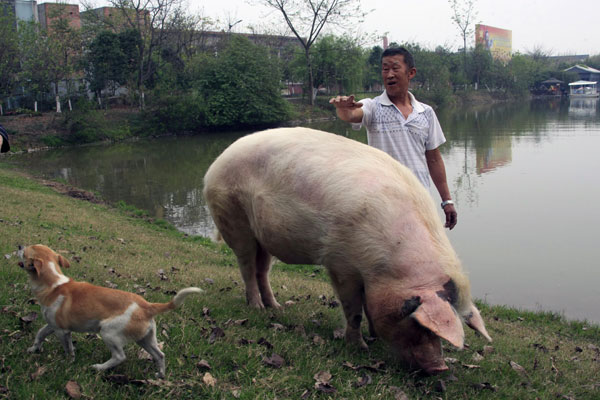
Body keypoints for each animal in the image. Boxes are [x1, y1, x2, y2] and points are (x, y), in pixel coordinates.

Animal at [18, 244, 202, 378]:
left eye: (25, 252)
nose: (19, 245)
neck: (55, 284)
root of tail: (146, 306)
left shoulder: (62, 331)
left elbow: (68, 348)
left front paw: (68, 362)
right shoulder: (52, 325)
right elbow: (40, 334)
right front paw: (33, 349)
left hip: (108, 332)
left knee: (120, 357)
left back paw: (99, 367)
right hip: (145, 339)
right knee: (160, 355)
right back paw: (160, 375)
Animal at [204, 126, 490, 374]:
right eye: (419, 323)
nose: (439, 368)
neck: (388, 264)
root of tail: (214, 165)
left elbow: (368, 305)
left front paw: (373, 337)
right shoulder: (340, 263)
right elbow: (353, 309)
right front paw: (360, 348)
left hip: (265, 239)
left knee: (262, 270)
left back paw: (276, 308)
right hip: (234, 218)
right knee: (246, 267)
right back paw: (256, 309)